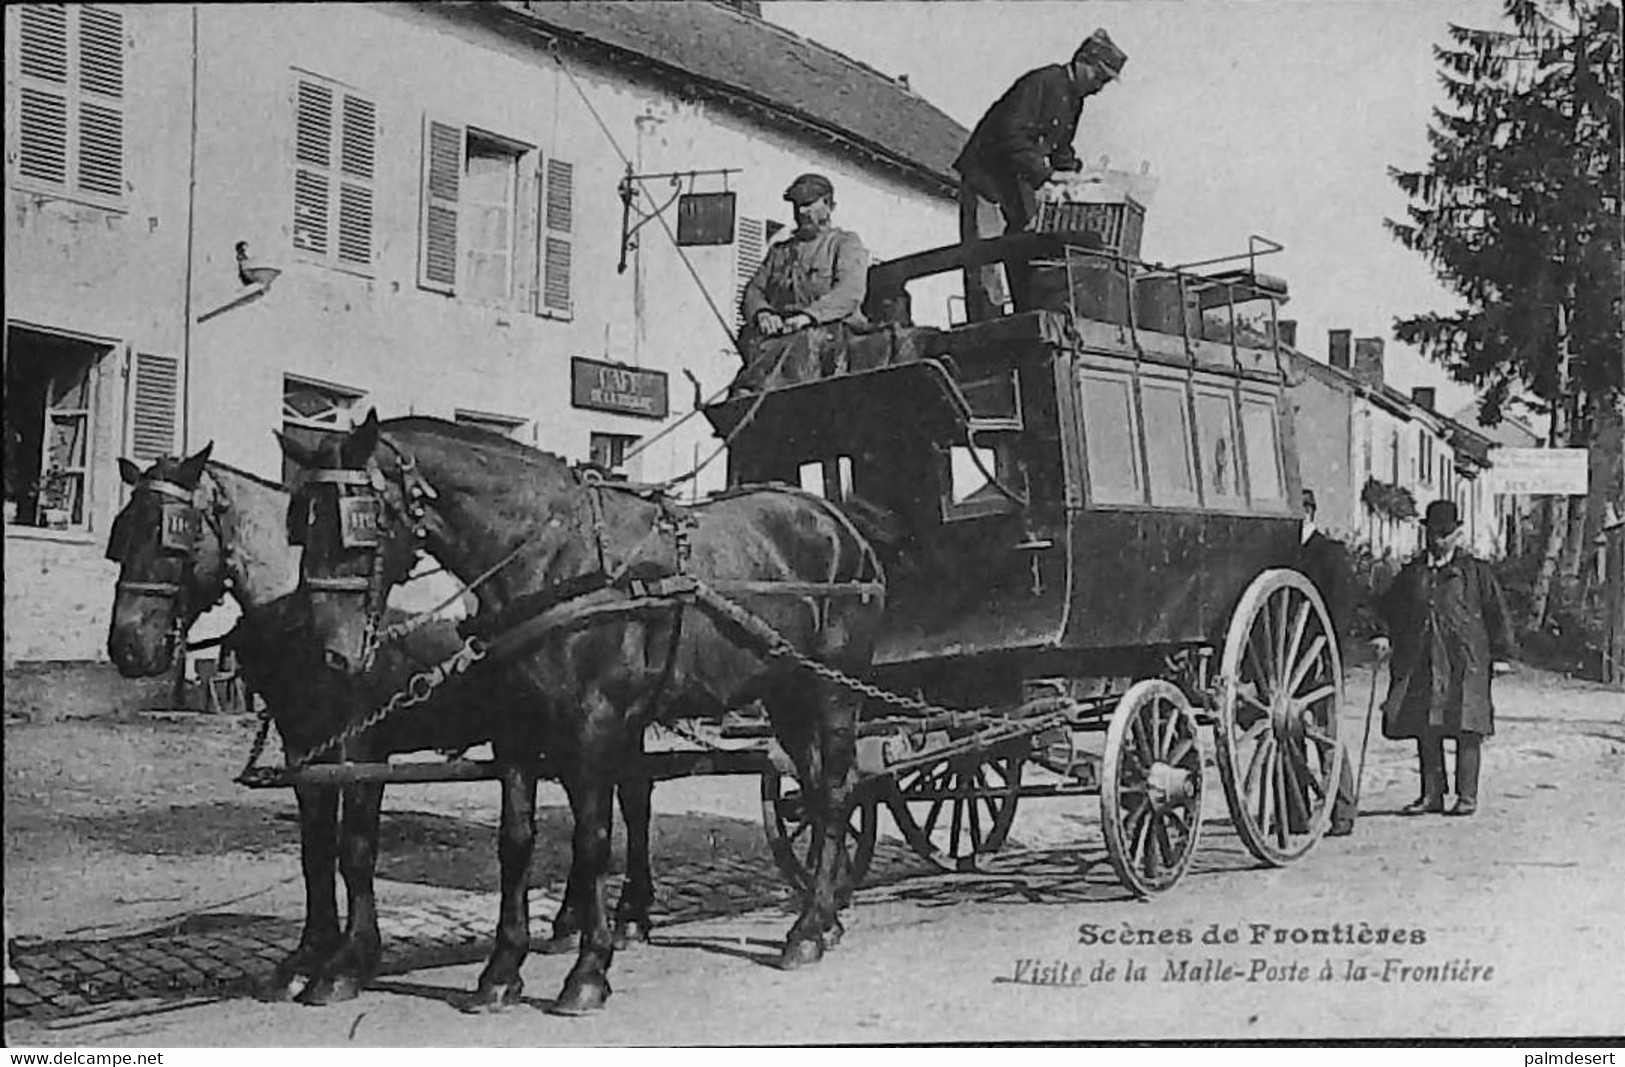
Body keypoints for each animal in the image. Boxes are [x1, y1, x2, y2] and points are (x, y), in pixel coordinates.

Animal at [101, 444, 663, 1000]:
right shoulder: (305, 747)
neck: (305, 609)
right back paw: (578, 922)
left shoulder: (362, 746)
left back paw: (624, 919)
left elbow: (355, 850)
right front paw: (307, 956)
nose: (126, 646)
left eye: (171, 536)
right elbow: (315, 850)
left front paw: (348, 962)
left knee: (628, 804)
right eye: (122, 532)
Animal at [282, 412, 890, 1013]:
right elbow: (516, 841)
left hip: (833, 693)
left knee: (837, 793)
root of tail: (840, 522)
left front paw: (588, 971)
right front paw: (501, 971)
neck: (551, 560)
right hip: (786, 694)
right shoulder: (515, 732)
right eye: (300, 525)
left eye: (357, 523)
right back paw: (825, 916)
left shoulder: (593, 727)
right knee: (815, 792)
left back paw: (807, 929)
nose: (329, 653)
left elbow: (593, 840)